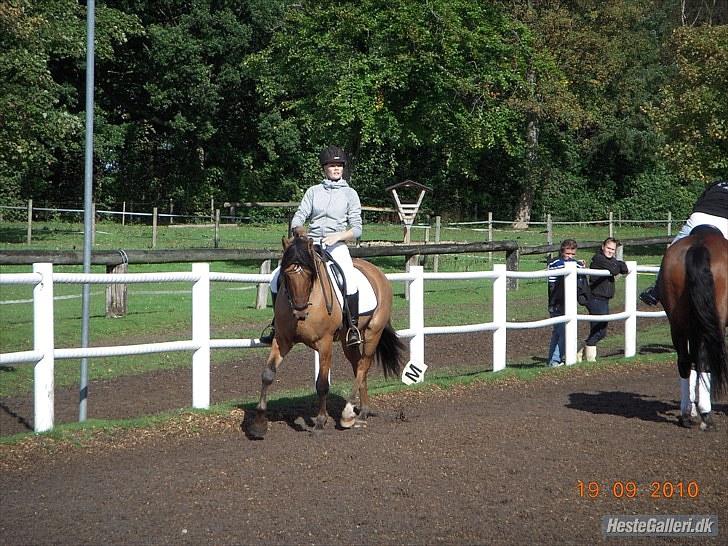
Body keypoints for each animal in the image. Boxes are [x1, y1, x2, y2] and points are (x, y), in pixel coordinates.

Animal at [250, 232, 404, 436]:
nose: (299, 310)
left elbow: (322, 384)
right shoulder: (282, 340)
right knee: (358, 365)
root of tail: (377, 272)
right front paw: (259, 424)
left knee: (363, 366)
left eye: (310, 274)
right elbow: (267, 374)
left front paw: (320, 422)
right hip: (348, 341)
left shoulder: (325, 343)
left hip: (373, 333)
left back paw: (348, 414)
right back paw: (362, 411)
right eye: (286, 274)